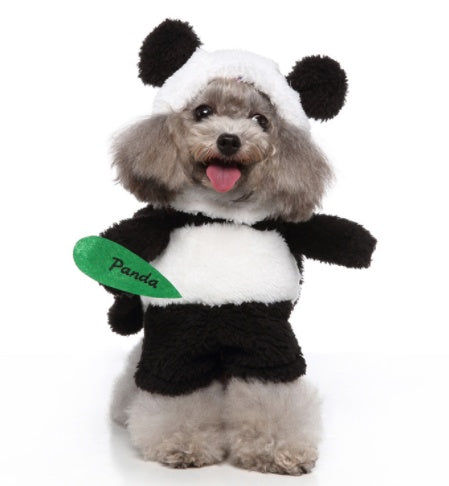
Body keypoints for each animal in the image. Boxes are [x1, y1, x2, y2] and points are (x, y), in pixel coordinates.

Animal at [100, 19, 376, 474]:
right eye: (203, 112)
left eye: (260, 119)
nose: (229, 140)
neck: (221, 212)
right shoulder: (176, 343)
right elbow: (175, 394)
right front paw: (184, 443)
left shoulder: (267, 345)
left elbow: (273, 395)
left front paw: (275, 448)